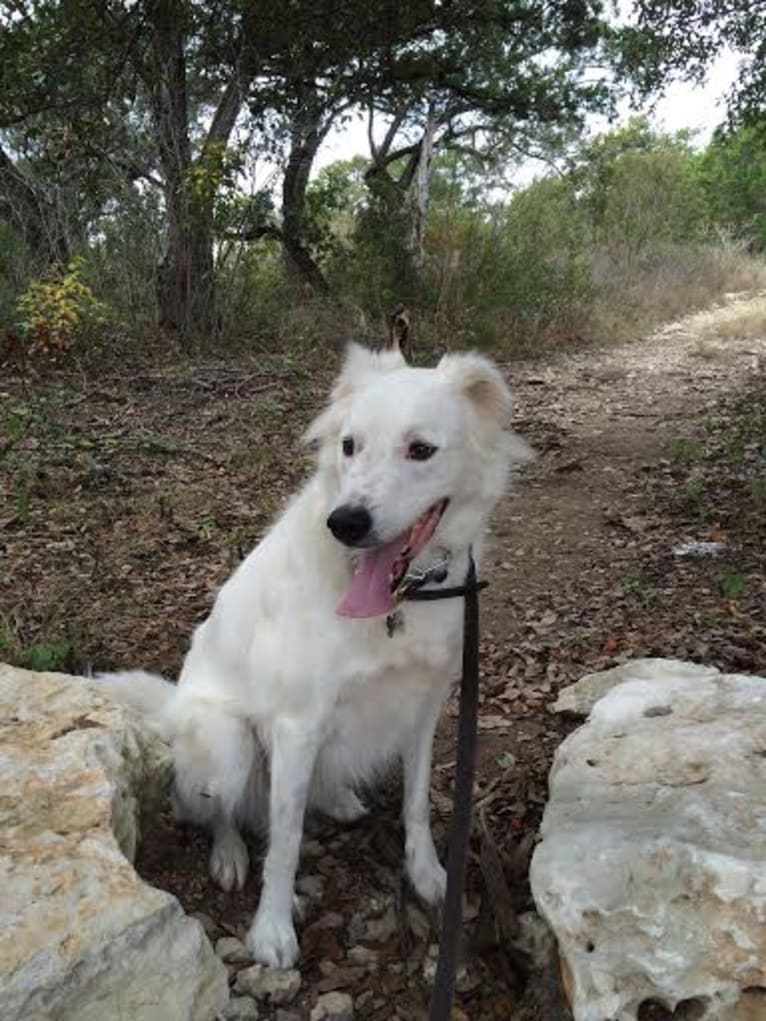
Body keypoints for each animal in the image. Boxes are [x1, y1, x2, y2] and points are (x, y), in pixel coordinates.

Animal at [102, 343, 531, 963]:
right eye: (349, 445)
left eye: (420, 449)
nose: (345, 523)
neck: (395, 602)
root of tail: (173, 707)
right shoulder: (296, 725)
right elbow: (284, 842)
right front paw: (272, 929)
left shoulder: (425, 708)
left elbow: (417, 802)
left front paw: (427, 874)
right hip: (226, 741)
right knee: (218, 811)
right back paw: (229, 853)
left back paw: (339, 799)